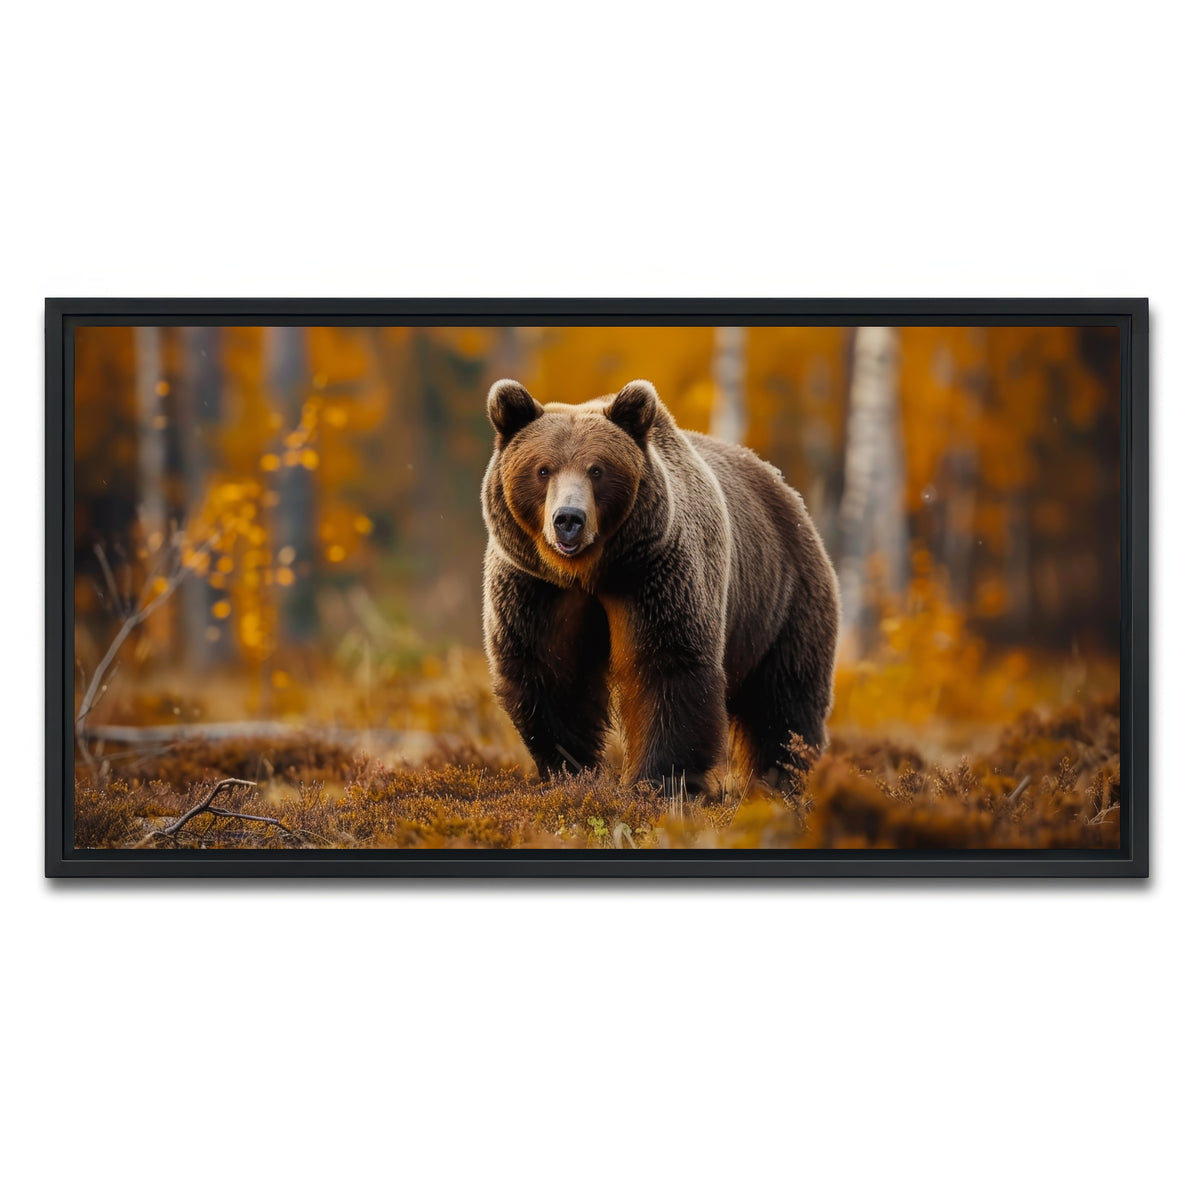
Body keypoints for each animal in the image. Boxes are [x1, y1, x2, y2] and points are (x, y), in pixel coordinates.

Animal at [481, 377, 840, 794]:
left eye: (597, 469)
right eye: (542, 470)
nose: (568, 519)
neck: (590, 572)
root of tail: (785, 489)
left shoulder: (656, 575)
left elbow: (667, 667)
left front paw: (657, 780)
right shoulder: (537, 590)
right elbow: (550, 674)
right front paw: (571, 771)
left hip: (784, 600)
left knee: (785, 699)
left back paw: (783, 778)